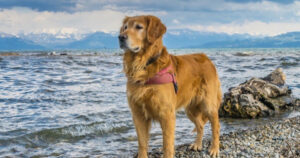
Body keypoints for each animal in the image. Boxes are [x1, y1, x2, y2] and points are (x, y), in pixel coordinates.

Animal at [118, 15, 221, 158]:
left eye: (139, 27)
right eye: (125, 27)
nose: (120, 37)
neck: (144, 65)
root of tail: (206, 58)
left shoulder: (167, 113)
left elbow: (167, 144)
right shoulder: (138, 113)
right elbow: (142, 143)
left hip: (208, 104)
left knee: (216, 125)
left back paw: (214, 149)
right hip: (190, 108)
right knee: (200, 125)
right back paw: (197, 144)